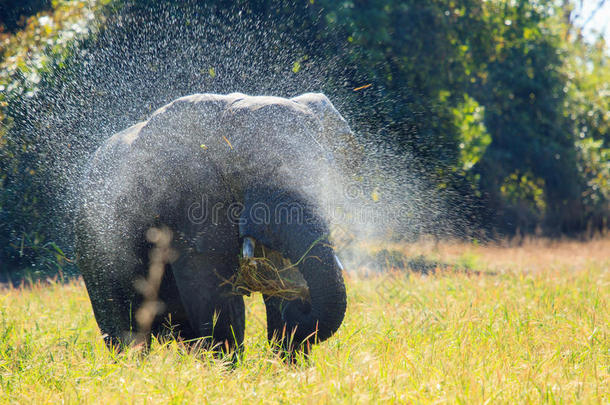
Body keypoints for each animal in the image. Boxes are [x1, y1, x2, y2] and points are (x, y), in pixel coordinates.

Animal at [75, 92, 352, 356]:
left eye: (324, 169)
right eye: (239, 173)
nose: (303, 302)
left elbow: (282, 277)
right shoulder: (190, 200)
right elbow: (212, 294)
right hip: (96, 245)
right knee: (123, 327)